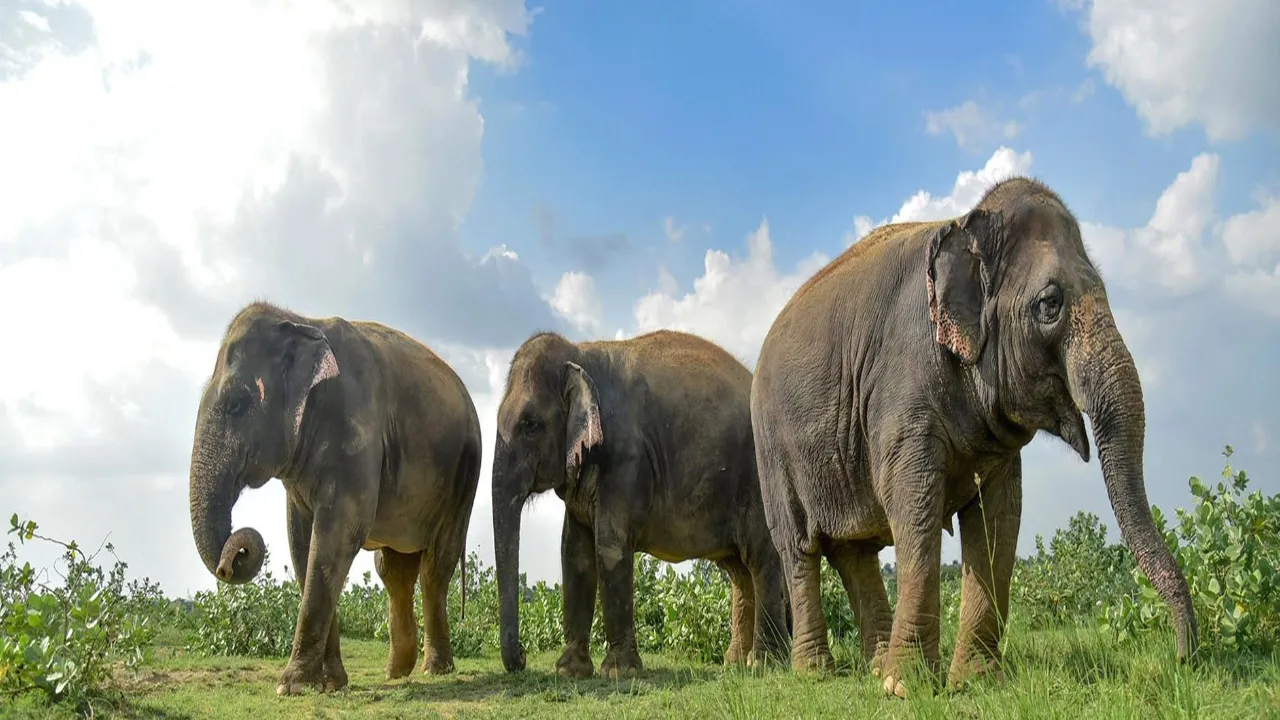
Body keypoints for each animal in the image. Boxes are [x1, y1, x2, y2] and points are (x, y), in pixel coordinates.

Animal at [187, 301, 482, 696]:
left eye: (236, 404)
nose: (228, 564)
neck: (301, 322)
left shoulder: (356, 431)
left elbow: (337, 535)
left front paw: (292, 685)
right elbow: (301, 541)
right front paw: (330, 683)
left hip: (463, 478)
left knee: (435, 565)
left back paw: (435, 670)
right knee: (393, 568)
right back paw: (396, 672)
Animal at [491, 329, 790, 679]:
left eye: (530, 425)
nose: (522, 656)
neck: (580, 355)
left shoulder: (626, 458)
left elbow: (610, 544)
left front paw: (619, 672)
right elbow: (574, 552)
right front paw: (569, 671)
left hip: (760, 477)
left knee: (760, 557)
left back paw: (766, 663)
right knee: (739, 570)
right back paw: (737, 663)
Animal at [749, 177, 1198, 697]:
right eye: (1050, 304)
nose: (1184, 658)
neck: (966, 223)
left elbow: (999, 517)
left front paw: (977, 683)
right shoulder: (901, 392)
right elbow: (913, 501)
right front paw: (906, 688)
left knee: (854, 551)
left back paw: (874, 667)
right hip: (772, 452)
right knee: (799, 547)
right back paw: (816, 672)